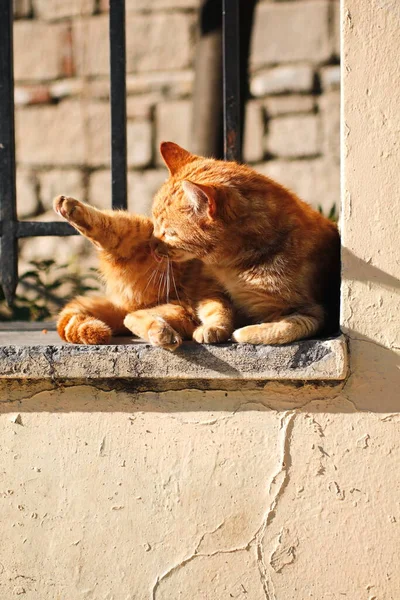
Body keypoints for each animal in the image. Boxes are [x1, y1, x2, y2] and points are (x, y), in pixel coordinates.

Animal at [53, 195, 234, 350]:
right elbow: (221, 309)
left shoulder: (214, 293)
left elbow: (220, 310)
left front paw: (214, 330)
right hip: (137, 231)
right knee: (109, 226)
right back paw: (68, 206)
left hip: (181, 312)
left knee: (133, 317)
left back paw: (163, 334)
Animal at [152, 142, 340, 344]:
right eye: (154, 224)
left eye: (169, 233)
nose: (152, 247)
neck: (237, 267)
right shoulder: (207, 287)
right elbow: (217, 307)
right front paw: (214, 327)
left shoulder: (314, 312)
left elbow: (287, 327)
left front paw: (245, 332)